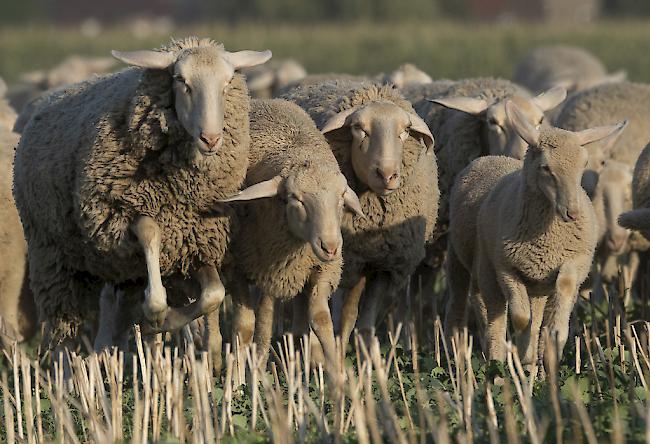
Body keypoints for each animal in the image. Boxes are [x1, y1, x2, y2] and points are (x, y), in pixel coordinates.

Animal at [12, 36, 270, 352]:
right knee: (63, 334)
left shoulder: (194, 242)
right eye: (181, 81)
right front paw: (157, 315)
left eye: (226, 82)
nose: (211, 139)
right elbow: (149, 234)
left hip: (113, 269)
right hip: (53, 257)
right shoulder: (121, 214)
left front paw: (168, 322)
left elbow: (213, 295)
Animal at [215, 99, 362, 370]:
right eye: (296, 199)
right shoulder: (266, 273)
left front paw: (337, 375)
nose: (330, 247)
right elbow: (261, 326)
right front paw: (254, 374)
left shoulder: (320, 270)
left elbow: (321, 320)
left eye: (341, 198)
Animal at [280, 80, 436, 346]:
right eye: (359, 128)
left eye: (405, 130)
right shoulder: (345, 261)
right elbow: (341, 318)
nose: (387, 174)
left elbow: (362, 321)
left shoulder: (385, 263)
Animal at [446, 100, 624, 364]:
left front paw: (555, 338)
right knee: (475, 309)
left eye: (583, 165)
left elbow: (564, 288)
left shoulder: (574, 261)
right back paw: (478, 360)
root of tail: (491, 157)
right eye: (545, 168)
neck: (548, 236)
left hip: (533, 285)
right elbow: (520, 318)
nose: (573, 212)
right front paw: (523, 350)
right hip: (468, 263)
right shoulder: (506, 268)